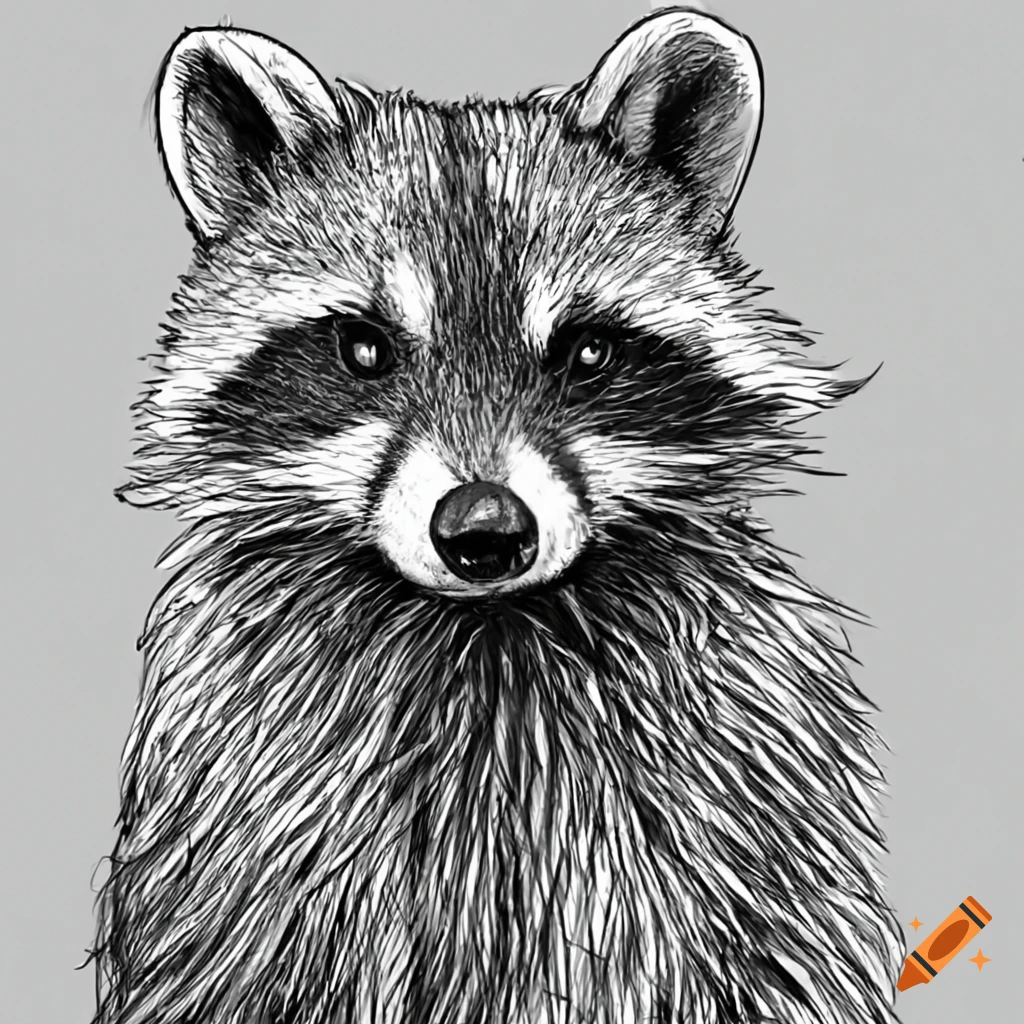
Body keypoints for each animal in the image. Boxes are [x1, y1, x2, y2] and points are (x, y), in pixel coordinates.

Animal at [88, 8, 905, 1024]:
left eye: (587, 351)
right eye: (365, 348)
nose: (485, 531)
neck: (485, 629)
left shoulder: (738, 792)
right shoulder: (248, 823)